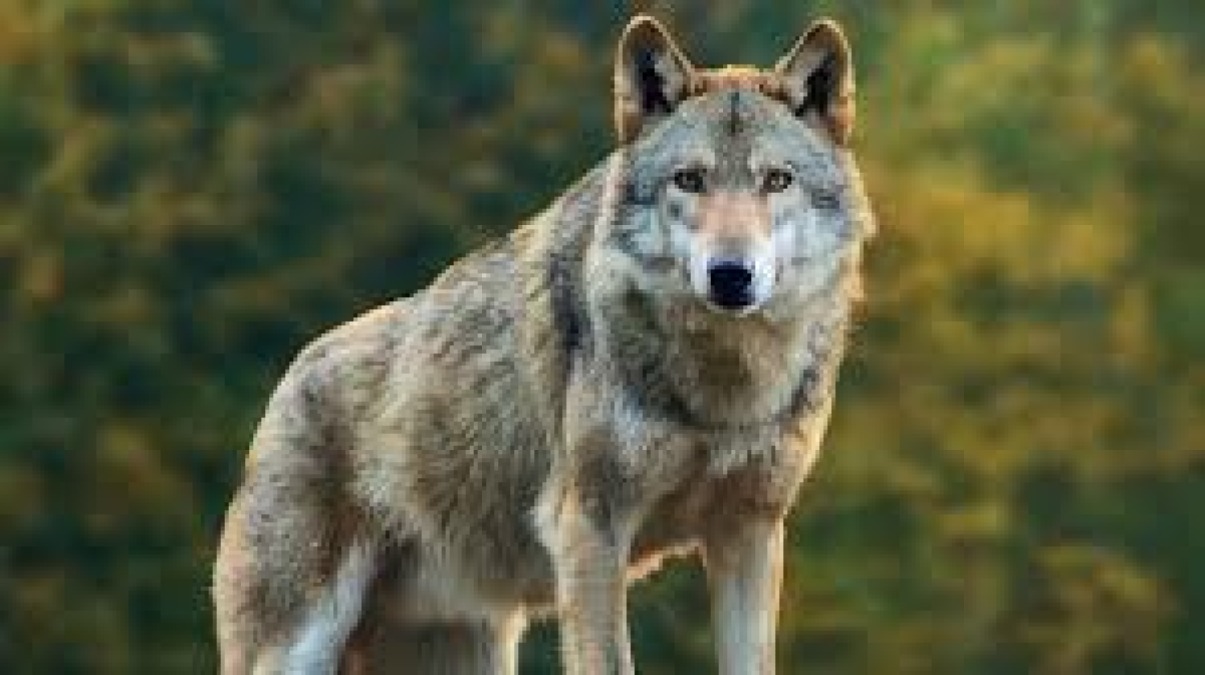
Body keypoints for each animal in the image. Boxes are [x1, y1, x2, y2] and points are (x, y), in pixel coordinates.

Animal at [214, 14, 873, 675]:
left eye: (776, 181)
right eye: (689, 180)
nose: (731, 275)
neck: (724, 387)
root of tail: (289, 378)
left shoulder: (750, 531)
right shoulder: (590, 526)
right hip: (297, 645)